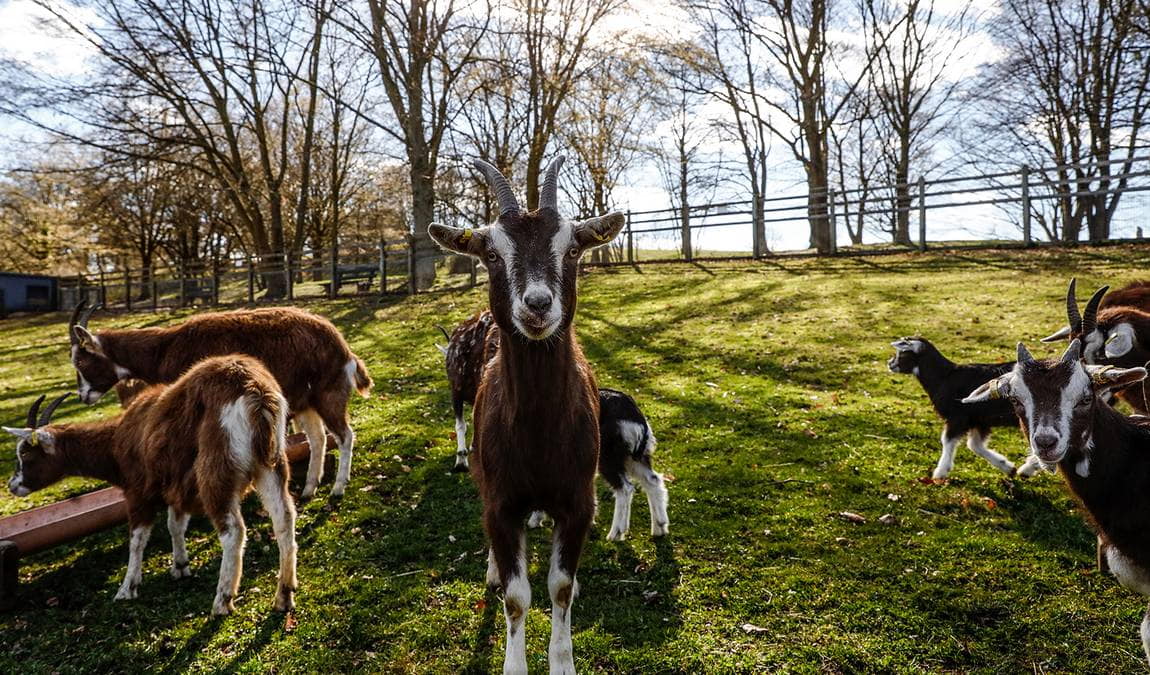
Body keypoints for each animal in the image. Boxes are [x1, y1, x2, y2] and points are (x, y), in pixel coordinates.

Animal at [3, 358, 296, 616]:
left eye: (25, 453)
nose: (12, 485)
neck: (118, 439)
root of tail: (254, 391)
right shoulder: (176, 486)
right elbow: (175, 525)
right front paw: (180, 566)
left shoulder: (137, 492)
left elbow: (137, 539)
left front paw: (127, 588)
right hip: (270, 463)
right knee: (283, 516)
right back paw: (284, 595)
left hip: (216, 469)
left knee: (233, 530)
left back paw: (223, 601)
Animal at [66, 303, 372, 499]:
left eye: (80, 360)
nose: (84, 396)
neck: (164, 349)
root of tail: (344, 349)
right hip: (306, 402)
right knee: (318, 439)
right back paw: (309, 490)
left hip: (329, 394)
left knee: (345, 435)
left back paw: (338, 489)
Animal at [430, 157, 630, 675]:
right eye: (491, 253)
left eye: (573, 248)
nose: (538, 305)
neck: (540, 432)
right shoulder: (501, 503)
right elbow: (517, 597)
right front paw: (514, 662)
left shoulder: (579, 502)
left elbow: (559, 588)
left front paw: (563, 661)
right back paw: (493, 569)